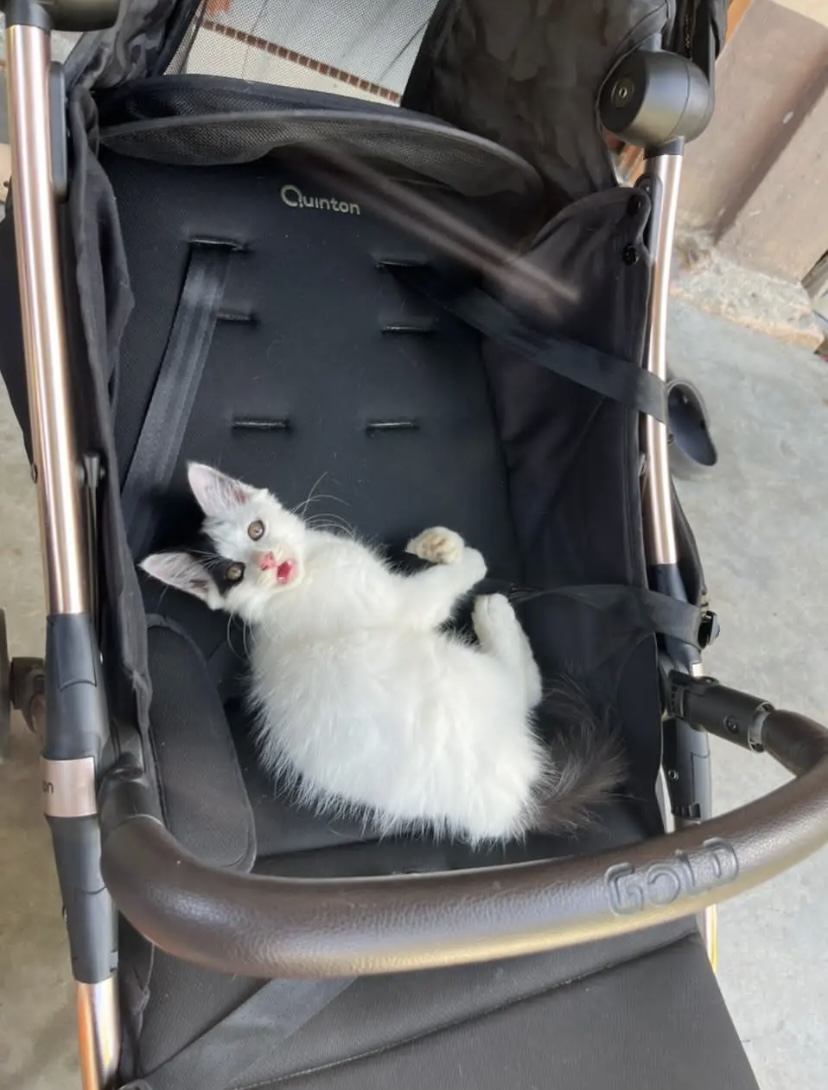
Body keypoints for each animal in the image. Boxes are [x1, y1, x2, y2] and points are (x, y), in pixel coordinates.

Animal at [142, 459, 618, 841]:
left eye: (255, 530)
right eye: (235, 574)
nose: (269, 564)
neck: (297, 584)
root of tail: (515, 799)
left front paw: (436, 545)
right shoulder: (397, 603)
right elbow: (435, 591)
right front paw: (471, 561)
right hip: (458, 674)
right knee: (524, 689)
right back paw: (495, 613)